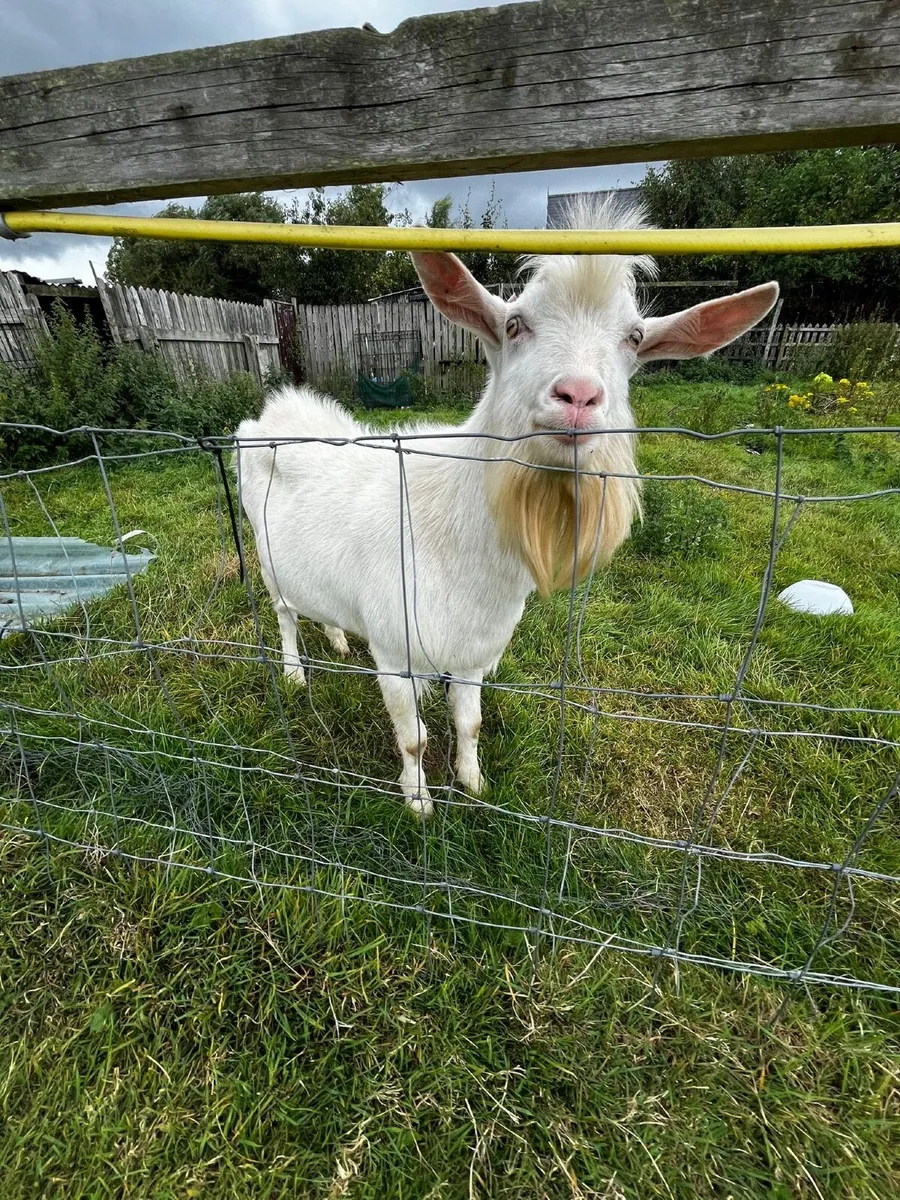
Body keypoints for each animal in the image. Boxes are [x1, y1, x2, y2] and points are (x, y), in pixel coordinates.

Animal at [235, 202, 778, 816]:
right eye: (515, 324)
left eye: (635, 337)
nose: (578, 397)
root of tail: (274, 412)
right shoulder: (396, 649)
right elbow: (413, 736)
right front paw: (418, 802)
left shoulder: (474, 652)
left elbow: (469, 724)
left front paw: (473, 783)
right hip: (265, 554)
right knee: (282, 611)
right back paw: (293, 673)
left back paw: (337, 638)